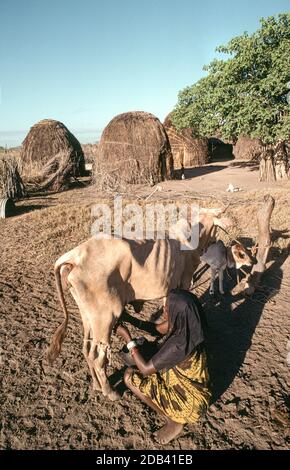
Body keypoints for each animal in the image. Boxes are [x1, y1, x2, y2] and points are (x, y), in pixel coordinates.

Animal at [48, 211, 233, 398]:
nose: (218, 244)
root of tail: (74, 255)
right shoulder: (183, 282)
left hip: (88, 316)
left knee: (87, 350)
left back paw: (96, 385)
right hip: (105, 317)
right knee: (98, 357)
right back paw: (109, 391)